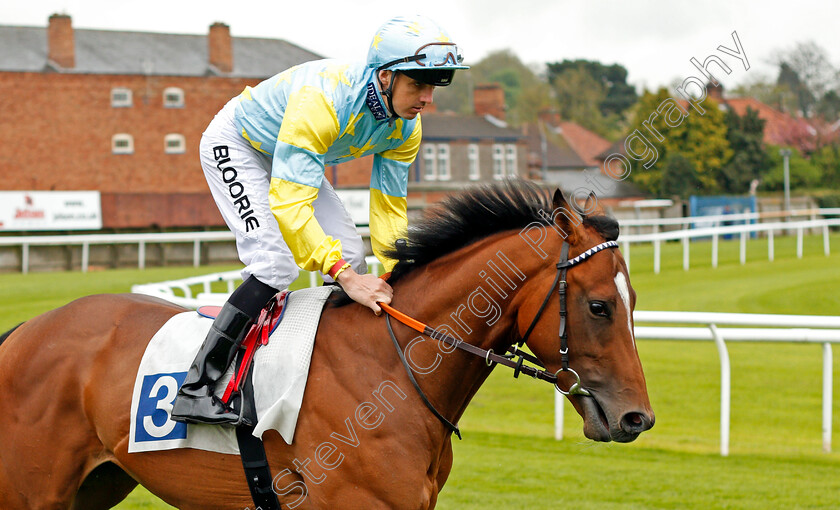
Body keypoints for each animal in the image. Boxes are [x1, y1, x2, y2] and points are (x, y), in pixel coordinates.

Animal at [0, 181, 652, 508]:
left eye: (634, 301)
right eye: (599, 305)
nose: (637, 418)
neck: (393, 370)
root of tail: (25, 331)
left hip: (94, 486)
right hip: (33, 492)